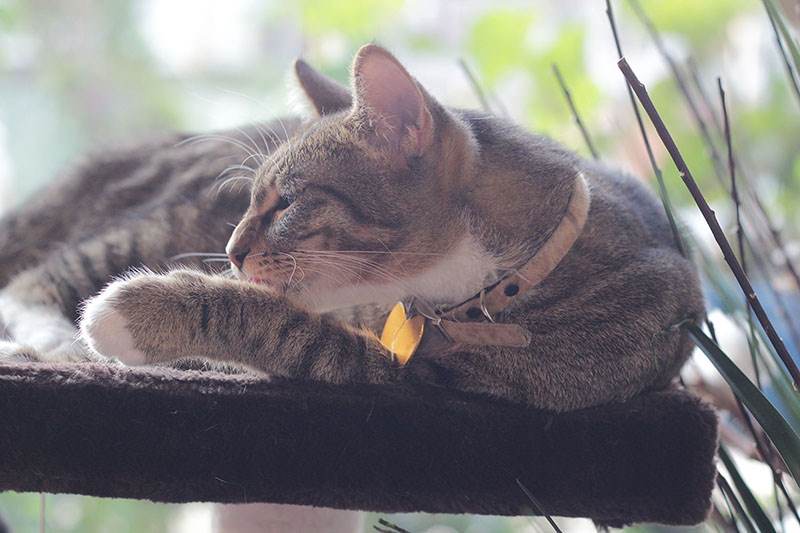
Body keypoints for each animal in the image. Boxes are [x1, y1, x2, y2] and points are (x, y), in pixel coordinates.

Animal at [0, 45, 700, 412]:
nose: (229, 250)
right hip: (164, 218)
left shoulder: (415, 380)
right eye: (252, 199)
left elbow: (281, 325)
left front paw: (140, 312)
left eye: (287, 203)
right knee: (31, 281)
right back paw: (53, 339)